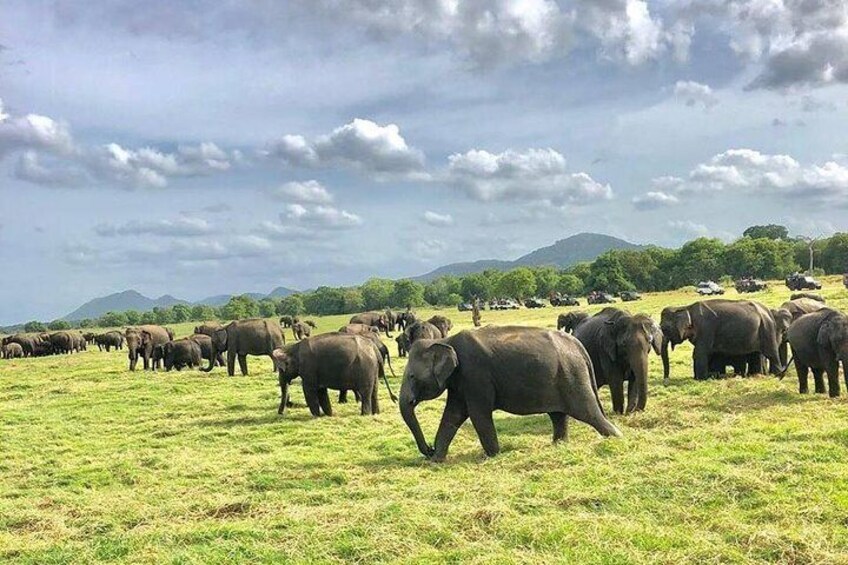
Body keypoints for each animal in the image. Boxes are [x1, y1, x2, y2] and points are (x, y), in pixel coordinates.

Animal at [400, 324, 620, 460]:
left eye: (411, 376)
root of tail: (578, 345)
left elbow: (478, 415)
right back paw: (559, 445)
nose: (429, 449)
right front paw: (437, 460)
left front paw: (492, 456)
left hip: (573, 377)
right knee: (558, 415)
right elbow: (452, 415)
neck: (447, 340)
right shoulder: (460, 382)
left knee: (588, 412)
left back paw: (618, 438)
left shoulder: (475, 375)